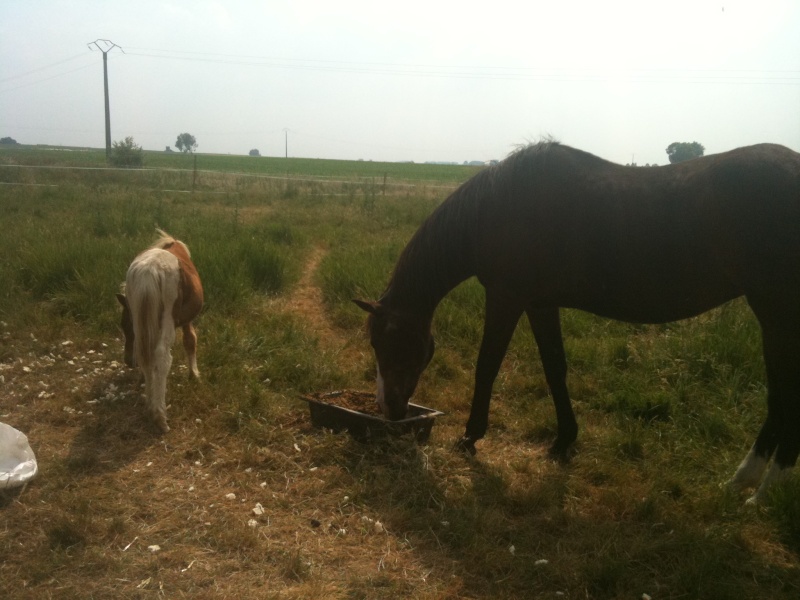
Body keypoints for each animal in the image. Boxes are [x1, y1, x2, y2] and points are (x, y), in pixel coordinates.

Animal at [116, 230, 205, 432]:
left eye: (125, 325)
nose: (128, 361)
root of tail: (150, 270)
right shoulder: (186, 321)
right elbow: (191, 341)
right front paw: (194, 374)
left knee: (145, 354)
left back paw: (150, 406)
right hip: (168, 320)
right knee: (162, 356)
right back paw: (159, 415)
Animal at [354, 141, 800, 502]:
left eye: (385, 343)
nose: (389, 409)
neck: (499, 206)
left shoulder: (506, 297)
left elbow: (487, 367)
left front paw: (470, 437)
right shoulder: (540, 304)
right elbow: (555, 368)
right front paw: (563, 442)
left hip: (777, 312)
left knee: (785, 396)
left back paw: (762, 492)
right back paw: (742, 481)